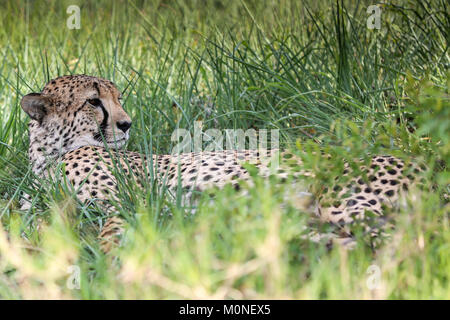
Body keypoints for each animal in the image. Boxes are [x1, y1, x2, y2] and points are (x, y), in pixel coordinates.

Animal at [19, 75, 424, 252]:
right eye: (93, 101)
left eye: (118, 98)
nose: (126, 124)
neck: (51, 155)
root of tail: (422, 163)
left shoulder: (126, 202)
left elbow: (109, 232)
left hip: (345, 204)